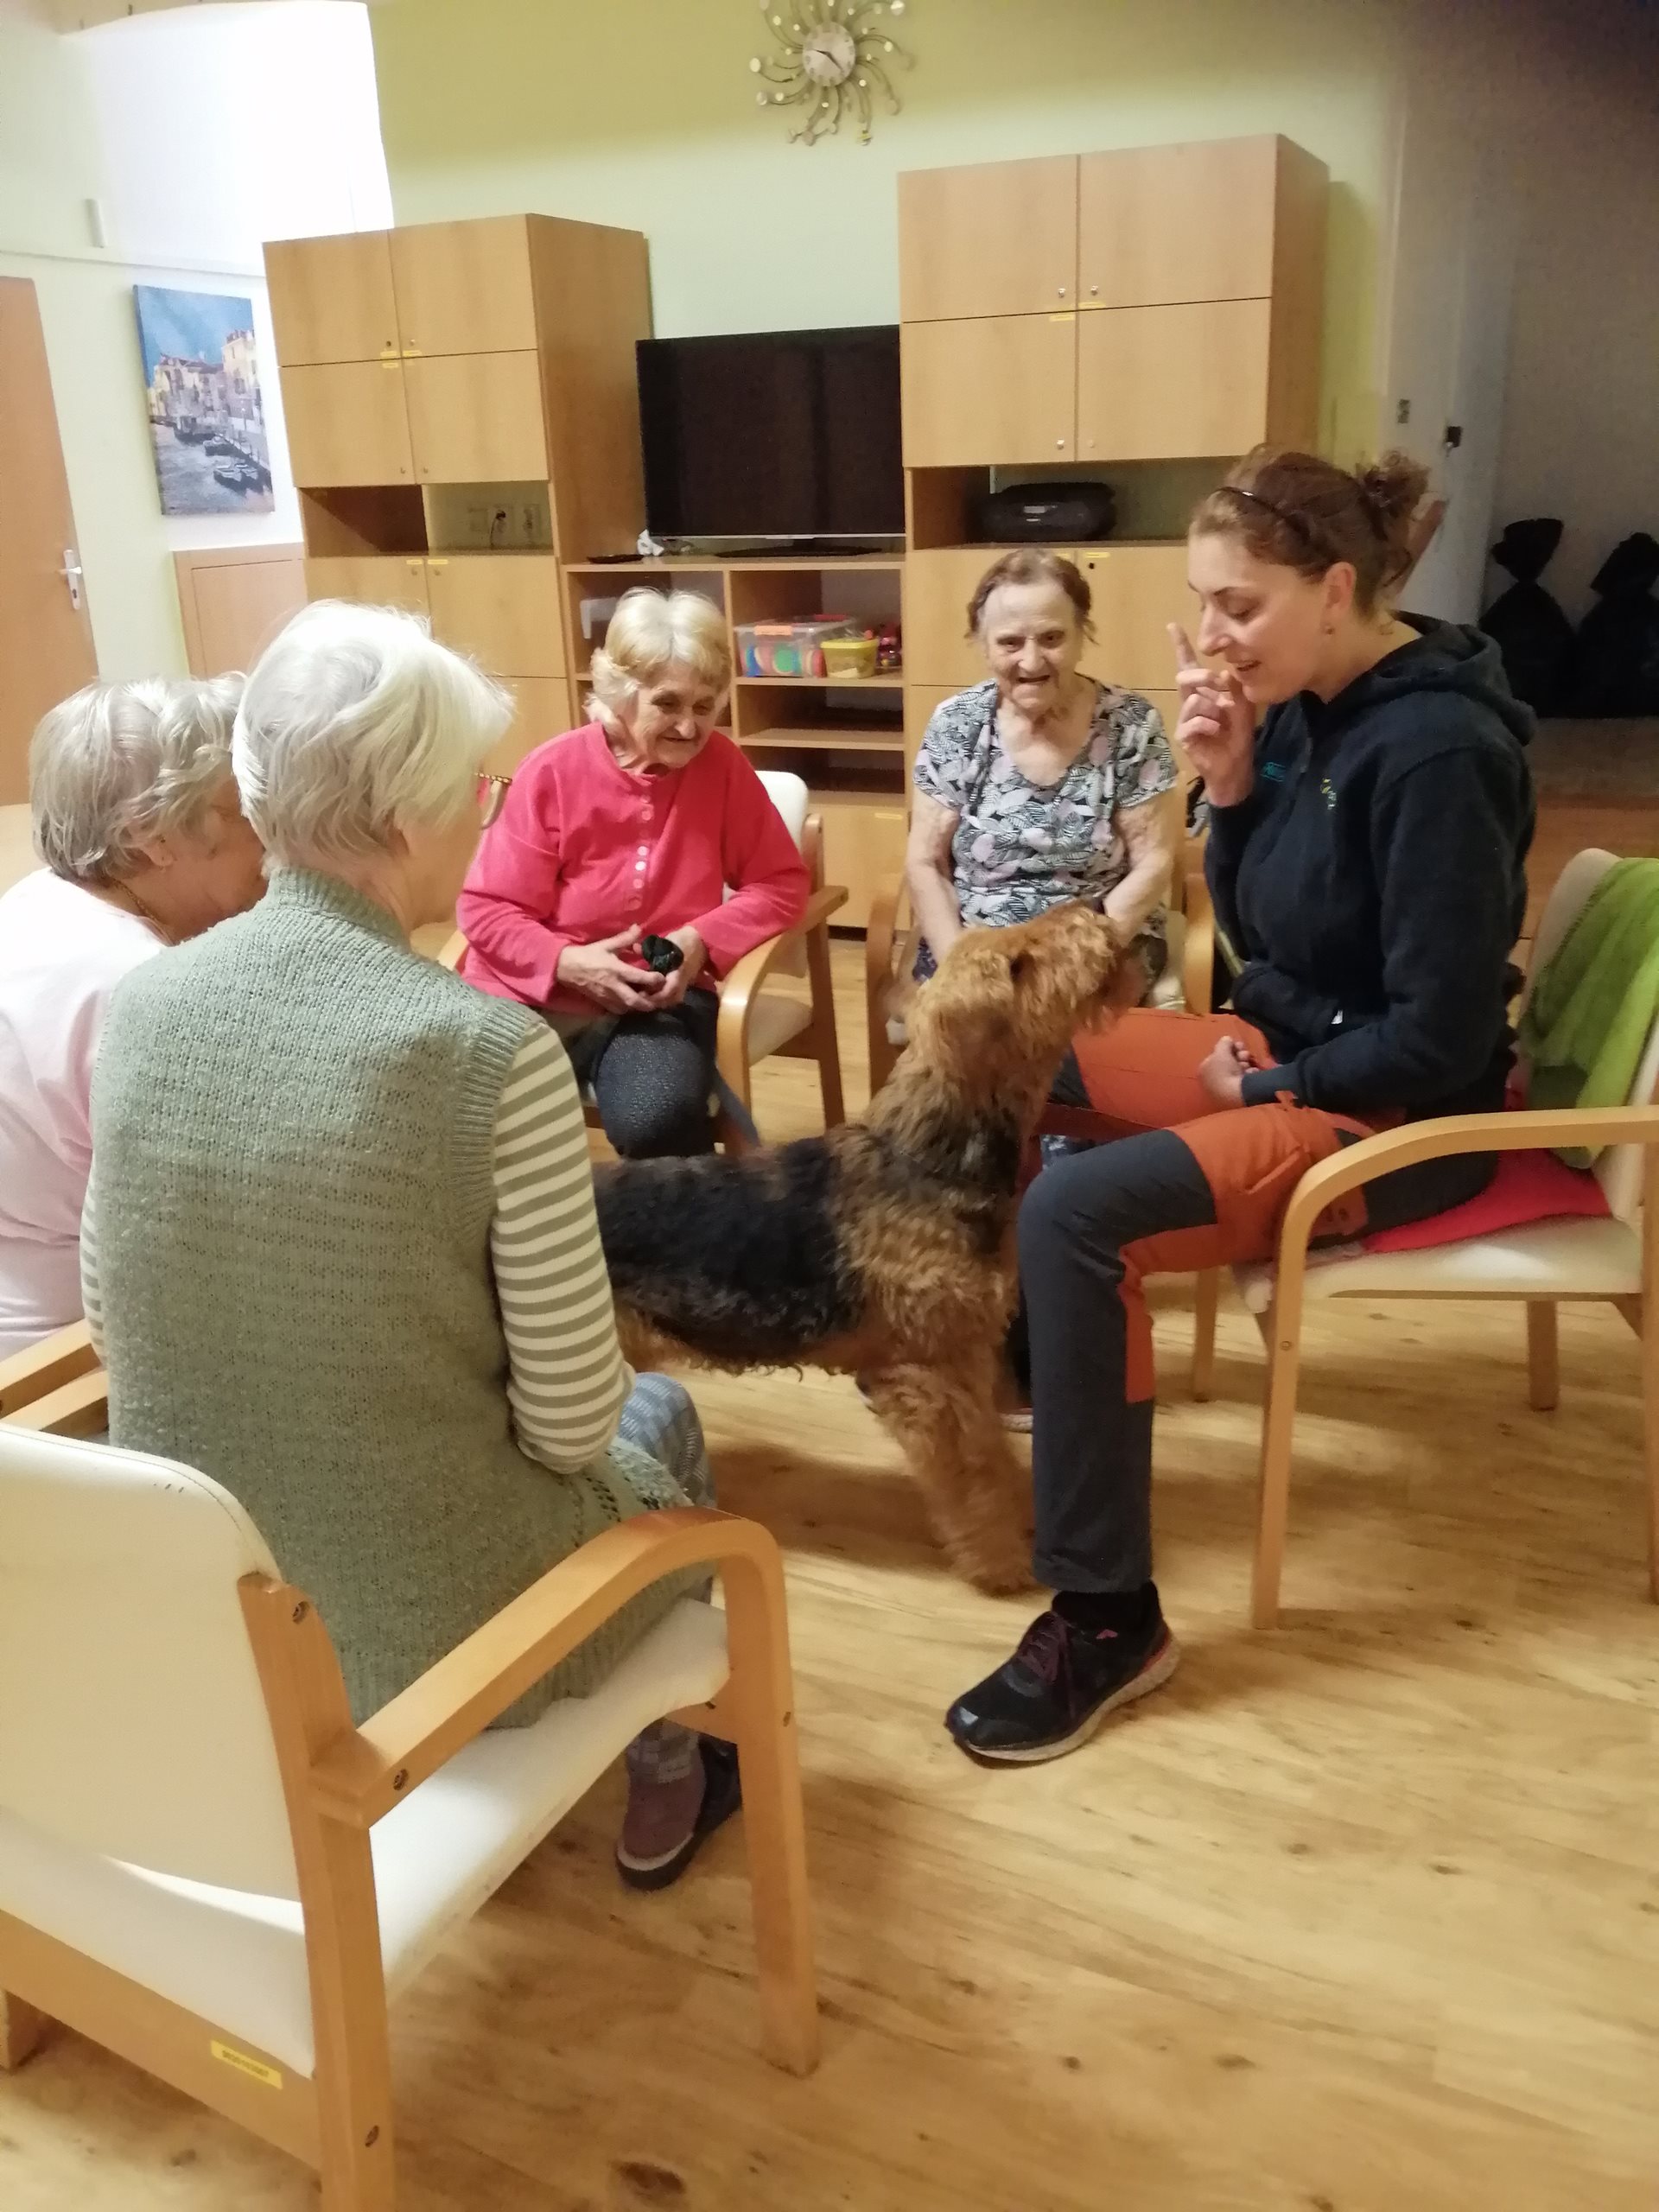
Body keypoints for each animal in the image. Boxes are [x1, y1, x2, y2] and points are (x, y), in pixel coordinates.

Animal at [592, 901, 1132, 1593]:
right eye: (1016, 964)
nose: (1093, 908)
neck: (926, 1158)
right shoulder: (928, 1377)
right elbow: (976, 1478)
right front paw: (1003, 1566)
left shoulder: (966, 1358)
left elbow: (994, 1454)